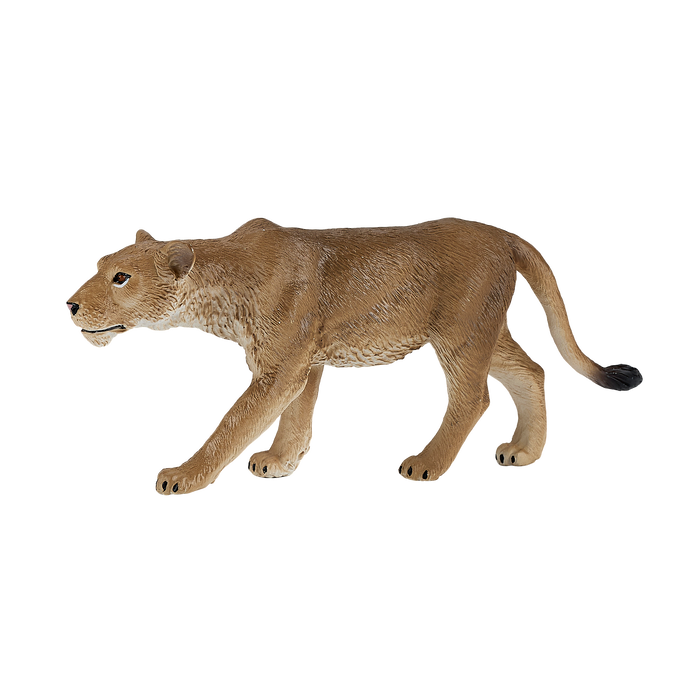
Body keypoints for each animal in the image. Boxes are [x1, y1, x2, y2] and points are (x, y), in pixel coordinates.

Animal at [63, 215, 644, 495]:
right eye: (97, 265)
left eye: (121, 278)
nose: (69, 304)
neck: (218, 290)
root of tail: (507, 235)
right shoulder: (302, 363)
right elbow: (295, 418)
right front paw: (279, 463)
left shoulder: (282, 366)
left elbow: (234, 421)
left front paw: (184, 477)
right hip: (485, 333)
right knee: (532, 370)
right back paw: (523, 451)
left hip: (459, 336)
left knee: (473, 396)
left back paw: (427, 464)